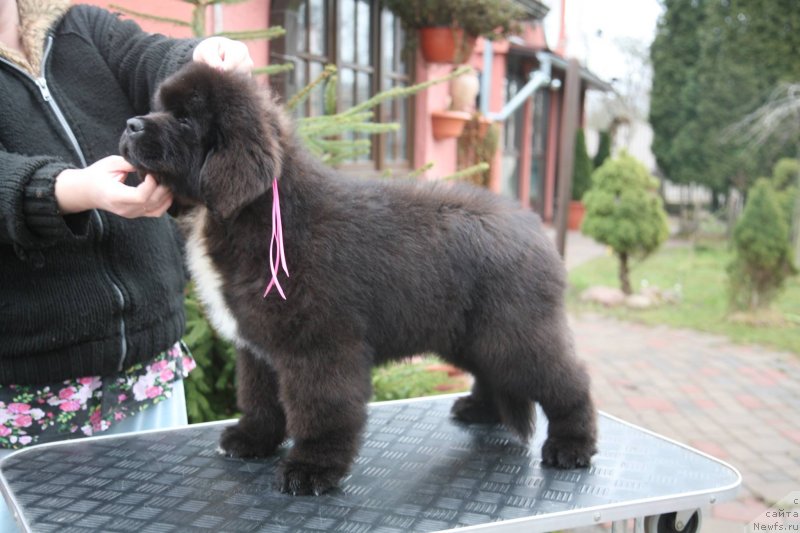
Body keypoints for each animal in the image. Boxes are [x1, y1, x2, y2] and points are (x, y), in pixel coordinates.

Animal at [117, 62, 592, 494]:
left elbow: (320, 408)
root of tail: (535, 229)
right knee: (495, 372)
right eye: (159, 107)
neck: (259, 215)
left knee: (566, 380)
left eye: (185, 119)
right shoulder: (257, 345)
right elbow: (259, 397)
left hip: (514, 332)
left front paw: (312, 468)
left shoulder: (318, 344)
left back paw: (572, 445)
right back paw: (479, 409)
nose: (131, 124)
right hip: (469, 334)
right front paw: (252, 439)